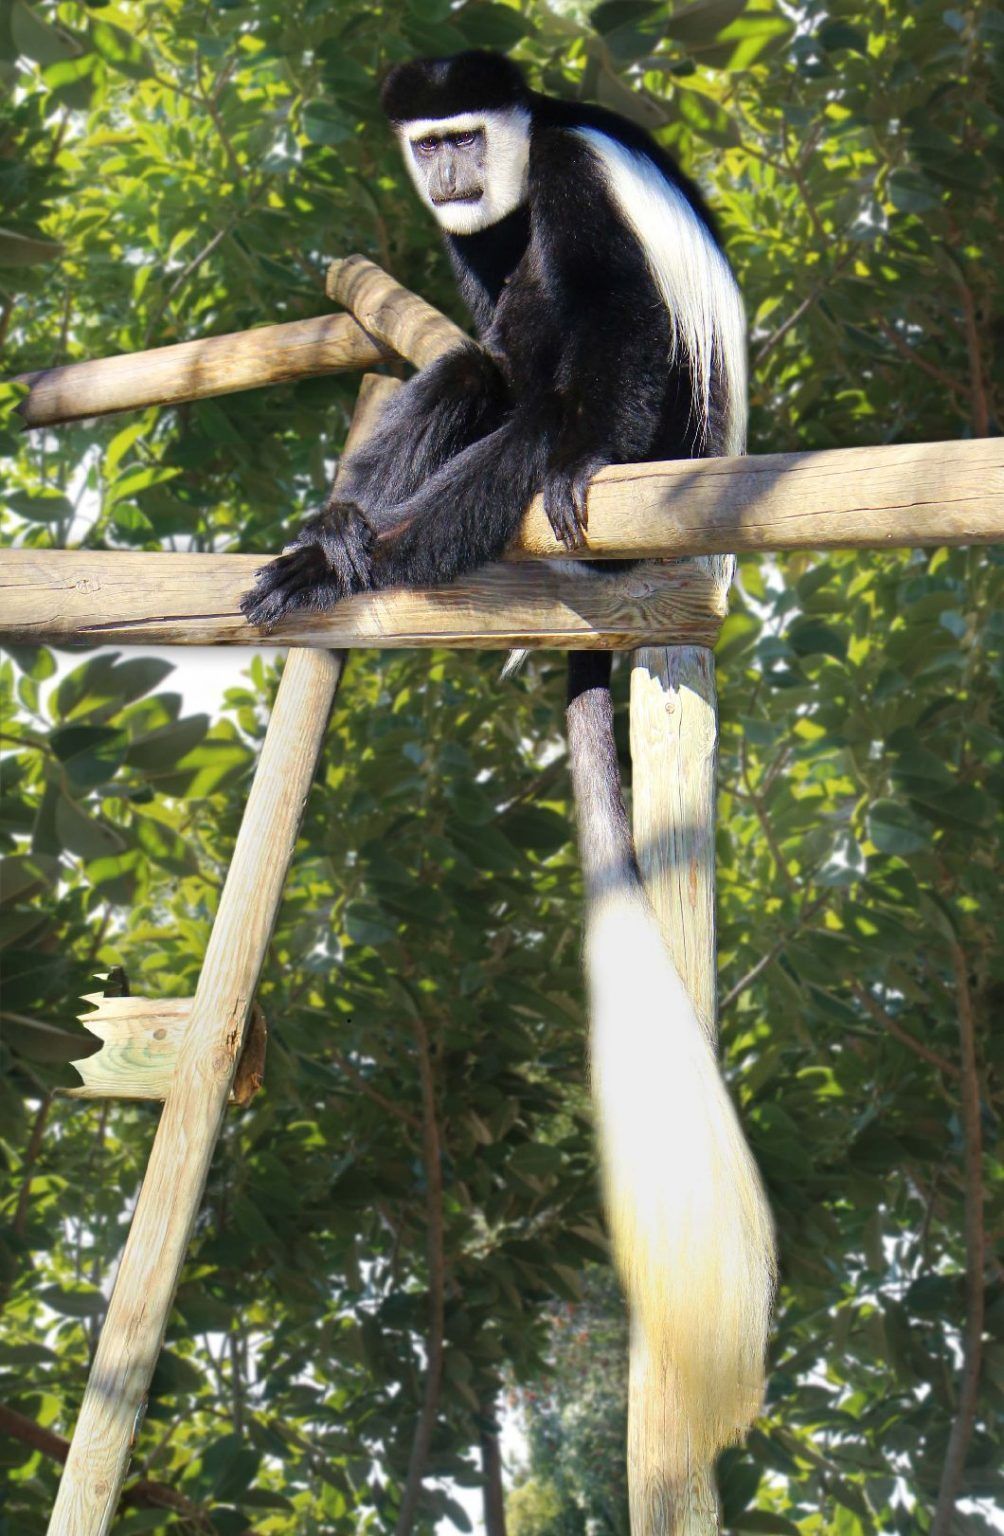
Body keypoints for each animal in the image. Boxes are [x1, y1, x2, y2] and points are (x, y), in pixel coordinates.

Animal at [242, 50, 775, 1496]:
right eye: (426, 145)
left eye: (463, 134)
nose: (451, 177)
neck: (525, 169)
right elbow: (471, 343)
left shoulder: (582, 196)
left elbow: (607, 345)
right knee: (474, 372)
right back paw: (342, 533)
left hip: (662, 449)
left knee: (546, 397)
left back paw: (374, 555)